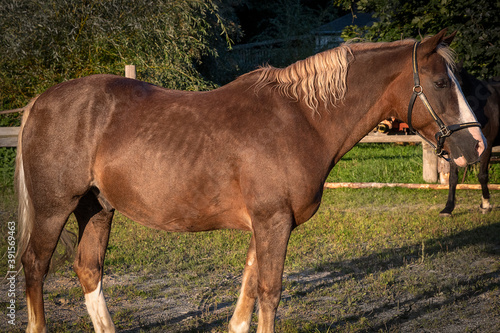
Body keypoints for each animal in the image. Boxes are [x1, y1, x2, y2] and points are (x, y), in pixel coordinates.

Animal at [17, 29, 486, 332]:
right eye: (441, 82)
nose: (478, 146)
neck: (302, 119)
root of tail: (40, 101)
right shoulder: (273, 223)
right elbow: (269, 293)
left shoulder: (266, 225)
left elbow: (246, 295)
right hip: (54, 208)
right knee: (36, 266)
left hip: (97, 207)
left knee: (89, 269)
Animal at [440, 68, 498, 217]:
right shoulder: (456, 150)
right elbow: (453, 178)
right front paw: (448, 207)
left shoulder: (486, 146)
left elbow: (482, 175)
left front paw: (485, 204)